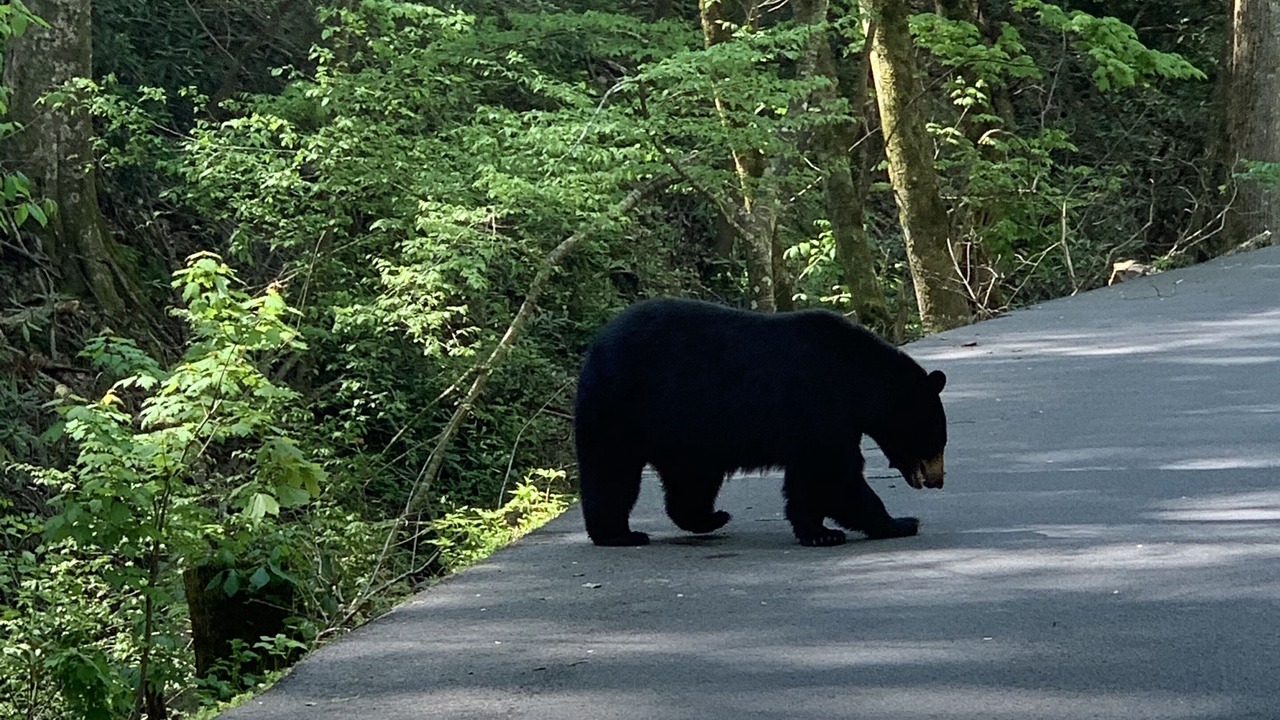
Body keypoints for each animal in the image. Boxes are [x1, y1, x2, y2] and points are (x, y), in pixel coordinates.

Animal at [573, 298, 948, 547]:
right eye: (937, 442)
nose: (938, 481)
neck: (860, 379)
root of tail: (595, 347)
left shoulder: (817, 421)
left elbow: (809, 479)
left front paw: (818, 531)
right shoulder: (820, 403)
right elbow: (836, 472)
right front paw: (899, 522)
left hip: (682, 432)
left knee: (690, 480)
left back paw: (709, 517)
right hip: (621, 406)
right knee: (612, 471)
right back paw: (619, 534)